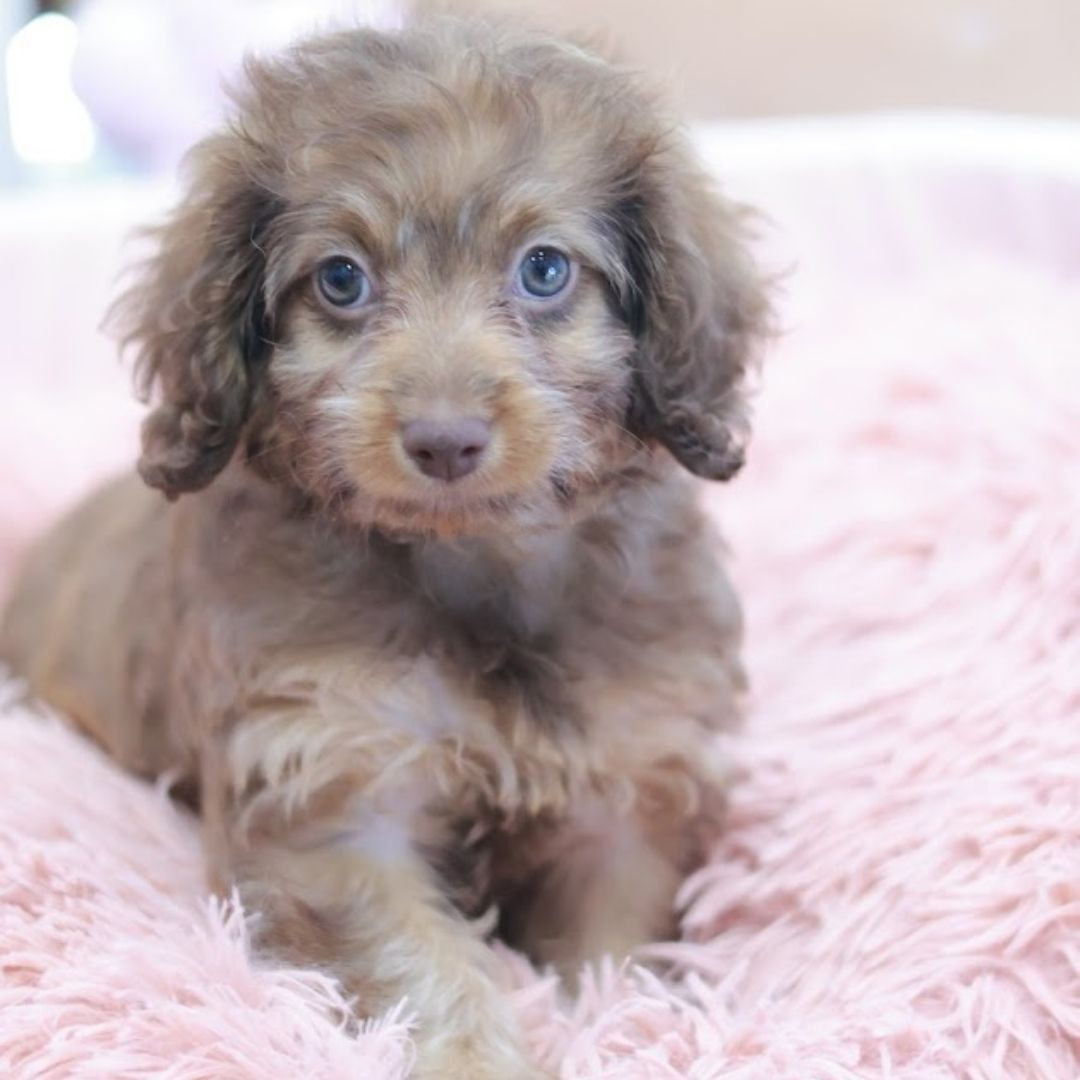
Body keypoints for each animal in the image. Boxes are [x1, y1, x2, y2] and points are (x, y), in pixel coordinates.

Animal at [0, 15, 771, 1078]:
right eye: (341, 279)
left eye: (544, 269)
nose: (445, 439)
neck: (476, 564)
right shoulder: (332, 801)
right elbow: (425, 962)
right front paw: (478, 1060)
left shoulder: (625, 799)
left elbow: (611, 953)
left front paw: (620, 1034)